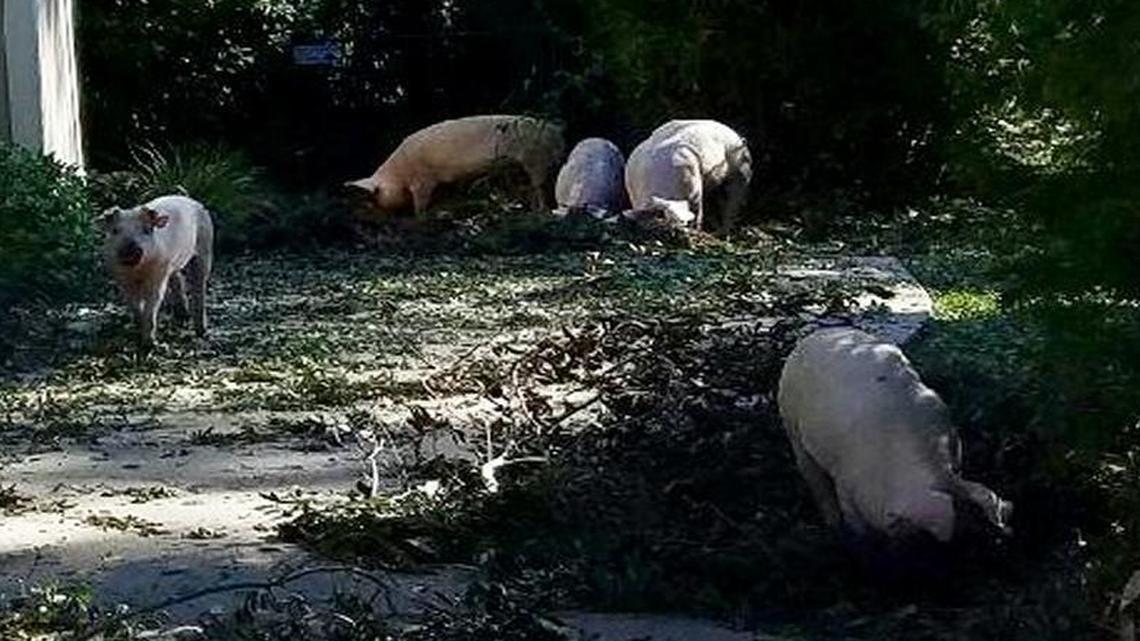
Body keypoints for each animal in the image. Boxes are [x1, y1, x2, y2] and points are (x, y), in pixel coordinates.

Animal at [100, 195, 214, 350]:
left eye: (147, 230)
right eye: (115, 230)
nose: (130, 249)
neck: (137, 271)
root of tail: (192, 201)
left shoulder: (159, 274)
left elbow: (153, 303)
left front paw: (149, 344)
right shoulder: (121, 279)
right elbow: (133, 304)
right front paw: (138, 330)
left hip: (205, 247)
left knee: (199, 286)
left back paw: (201, 331)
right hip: (174, 265)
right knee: (177, 279)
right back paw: (182, 318)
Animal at [345, 115, 565, 217]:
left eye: (376, 194)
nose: (372, 211)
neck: (399, 173)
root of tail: (556, 132)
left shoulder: (423, 180)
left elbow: (421, 202)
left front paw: (419, 216)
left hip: (535, 159)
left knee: (539, 186)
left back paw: (542, 212)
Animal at [777, 327, 1012, 546]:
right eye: (925, 539)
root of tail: (816, 335)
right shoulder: (845, 480)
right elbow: (854, 522)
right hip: (790, 420)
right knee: (812, 474)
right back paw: (831, 524)